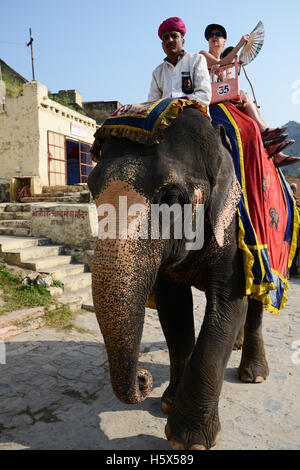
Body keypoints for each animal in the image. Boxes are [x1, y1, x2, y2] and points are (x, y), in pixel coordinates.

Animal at [86, 106, 270, 452]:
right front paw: (168, 404)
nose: (143, 378)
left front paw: (189, 440)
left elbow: (228, 308)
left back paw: (254, 376)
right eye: (91, 190)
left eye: (172, 195)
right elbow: (174, 313)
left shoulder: (233, 230)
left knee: (256, 301)